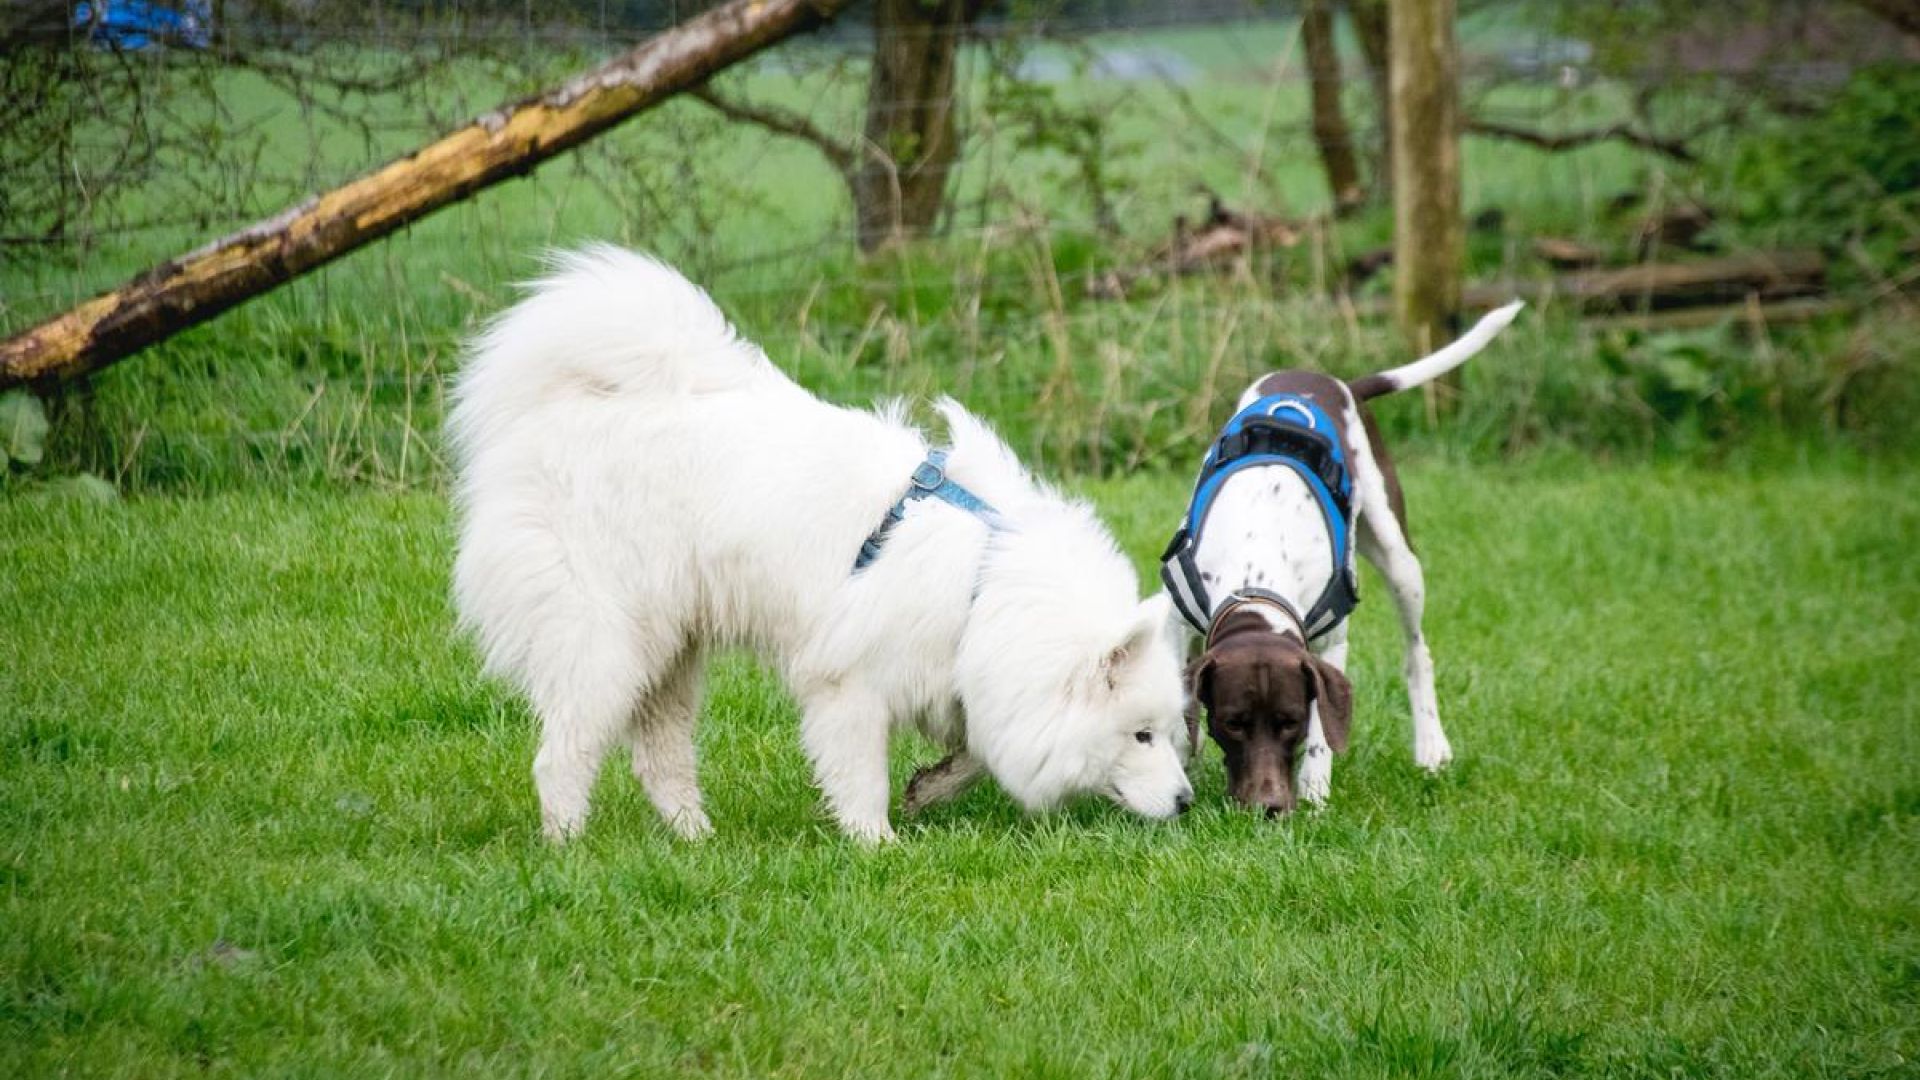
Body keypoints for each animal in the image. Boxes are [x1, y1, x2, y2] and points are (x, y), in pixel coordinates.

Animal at [455, 245, 1190, 841]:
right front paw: (877, 843)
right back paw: (569, 846)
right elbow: (862, 775)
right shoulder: (850, 684)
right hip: (610, 645)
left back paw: (696, 840)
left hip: (671, 653)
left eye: (1169, 731)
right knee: (562, 755)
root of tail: (561, 410)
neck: (983, 584)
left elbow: (975, 751)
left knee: (658, 758)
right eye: (1141, 735)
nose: (1186, 802)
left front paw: (930, 787)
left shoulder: (965, 674)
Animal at [1159, 299, 1520, 807]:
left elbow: (1322, 732)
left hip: (1399, 560)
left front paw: (1313, 792)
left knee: (1417, 653)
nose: (1269, 807)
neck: (1257, 577)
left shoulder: (1330, 646)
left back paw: (1431, 746)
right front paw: (1178, 761)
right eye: (1233, 723)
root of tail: (1339, 383)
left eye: (1289, 721)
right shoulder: (1178, 624)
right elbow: (1179, 709)